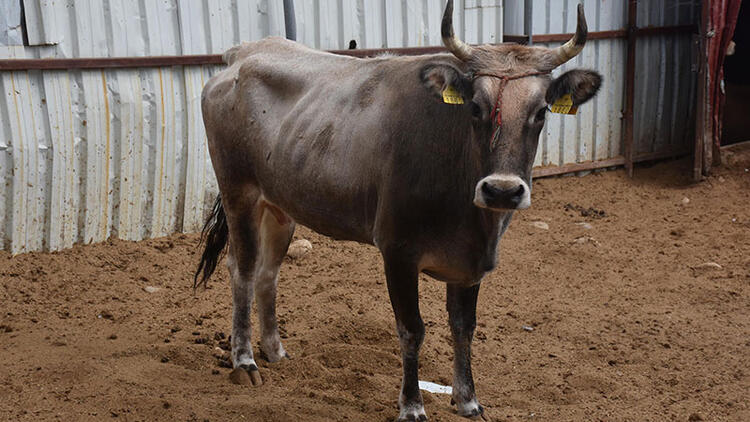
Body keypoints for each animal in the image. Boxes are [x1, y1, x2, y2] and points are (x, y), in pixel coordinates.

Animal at [195, 0, 604, 418]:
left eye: (541, 112)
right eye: (475, 107)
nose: (502, 191)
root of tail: (245, 52)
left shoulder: (471, 265)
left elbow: (464, 327)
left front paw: (468, 399)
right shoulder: (398, 251)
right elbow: (412, 329)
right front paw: (412, 405)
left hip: (280, 206)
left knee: (268, 273)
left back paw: (275, 350)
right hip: (239, 192)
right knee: (242, 269)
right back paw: (245, 360)